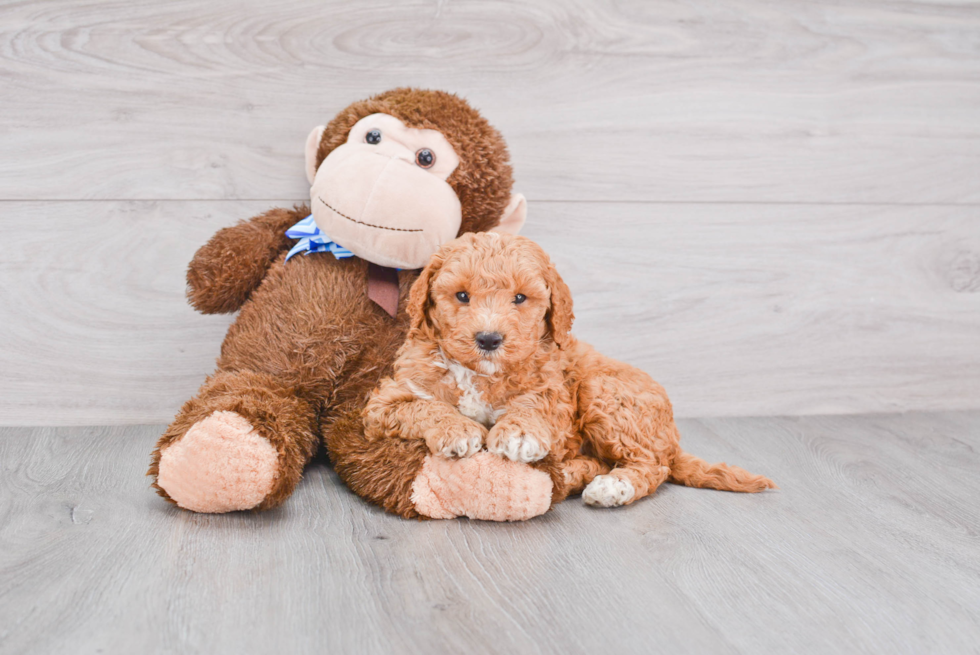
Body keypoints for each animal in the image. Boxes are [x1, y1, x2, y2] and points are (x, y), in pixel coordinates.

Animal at [362, 233, 772, 510]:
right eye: (462, 296)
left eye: (520, 298)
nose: (489, 339)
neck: (481, 373)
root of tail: (671, 440)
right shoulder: (385, 401)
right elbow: (424, 405)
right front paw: (458, 428)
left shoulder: (554, 396)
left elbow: (534, 406)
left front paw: (519, 432)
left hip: (603, 393)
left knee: (652, 466)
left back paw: (611, 486)